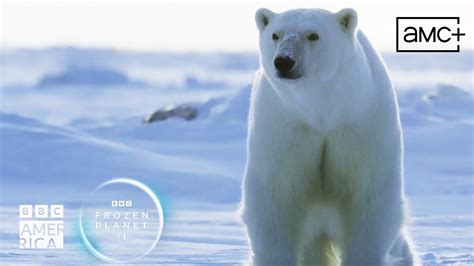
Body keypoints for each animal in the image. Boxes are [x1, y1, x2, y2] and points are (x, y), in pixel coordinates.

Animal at [241, 7, 418, 264]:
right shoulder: (286, 127)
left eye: (313, 35)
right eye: (275, 34)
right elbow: (276, 198)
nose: (284, 61)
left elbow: (368, 198)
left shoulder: (358, 123)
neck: (321, 111)